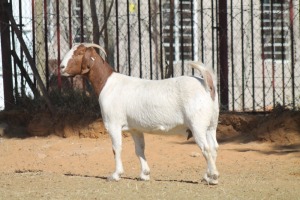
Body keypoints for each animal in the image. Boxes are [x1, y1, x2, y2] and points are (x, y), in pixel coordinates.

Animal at [59, 43, 219, 184]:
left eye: (79, 53)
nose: (61, 67)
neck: (107, 83)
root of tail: (207, 85)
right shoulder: (135, 128)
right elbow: (139, 149)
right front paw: (144, 174)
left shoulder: (113, 124)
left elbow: (116, 148)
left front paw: (115, 175)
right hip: (211, 125)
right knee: (213, 147)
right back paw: (209, 177)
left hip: (197, 124)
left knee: (206, 148)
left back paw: (213, 176)